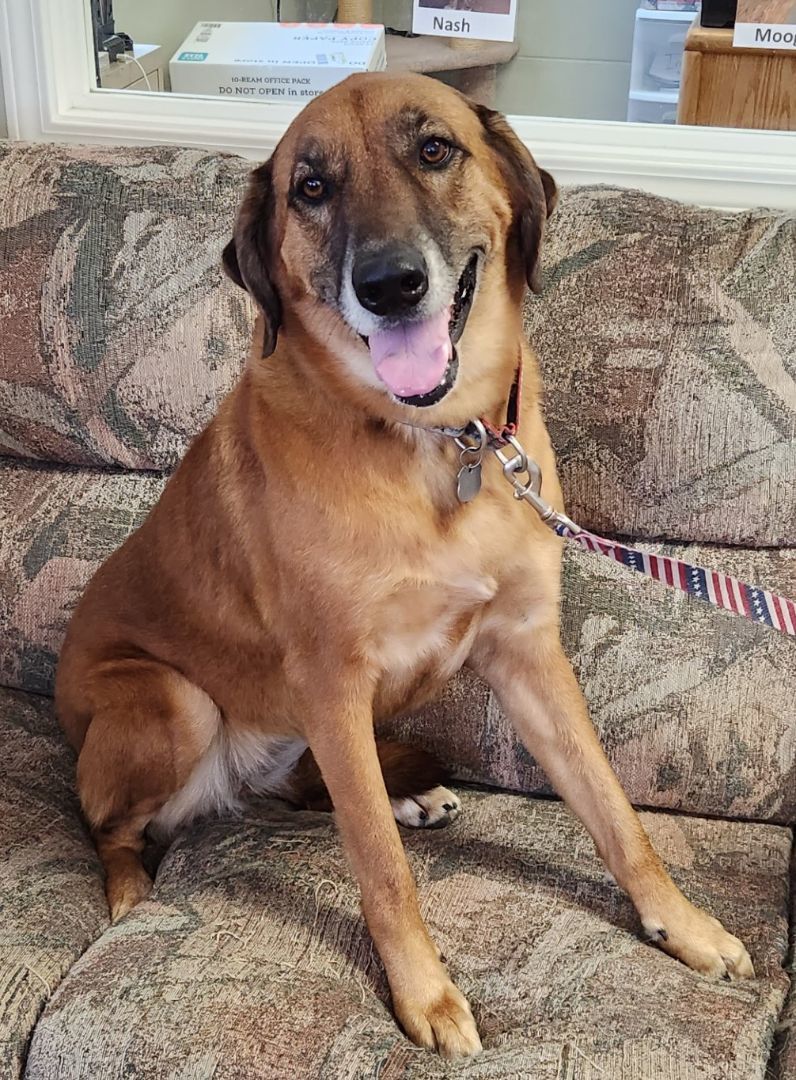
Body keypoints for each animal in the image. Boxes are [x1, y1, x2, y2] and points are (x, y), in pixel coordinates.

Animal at [55, 71, 751, 1058]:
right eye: (311, 188)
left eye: (434, 149)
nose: (390, 286)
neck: (440, 441)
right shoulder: (333, 684)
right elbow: (382, 870)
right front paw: (423, 993)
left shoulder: (527, 653)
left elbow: (613, 808)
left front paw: (681, 924)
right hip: (176, 703)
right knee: (107, 823)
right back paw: (129, 892)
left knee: (297, 788)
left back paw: (405, 794)